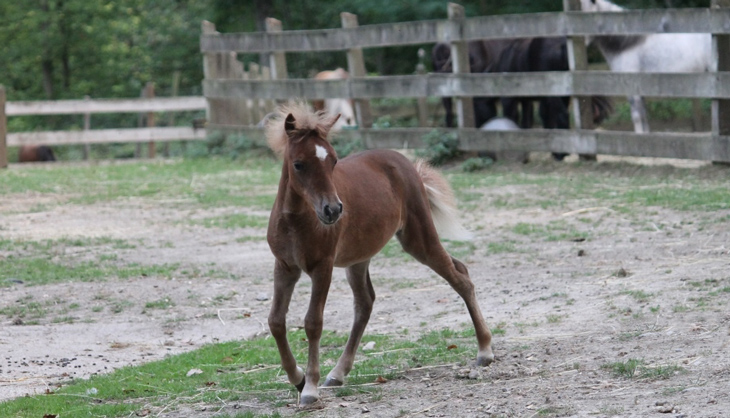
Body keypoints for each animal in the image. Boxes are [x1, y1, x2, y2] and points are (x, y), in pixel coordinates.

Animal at [264, 103, 492, 406]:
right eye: (298, 164)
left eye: (333, 161)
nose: (333, 210)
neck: (296, 220)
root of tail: (406, 163)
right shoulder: (285, 266)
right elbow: (276, 321)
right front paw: (298, 378)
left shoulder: (323, 267)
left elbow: (313, 322)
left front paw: (309, 388)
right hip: (359, 257)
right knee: (366, 302)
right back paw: (337, 373)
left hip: (418, 239)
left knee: (460, 278)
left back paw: (485, 351)